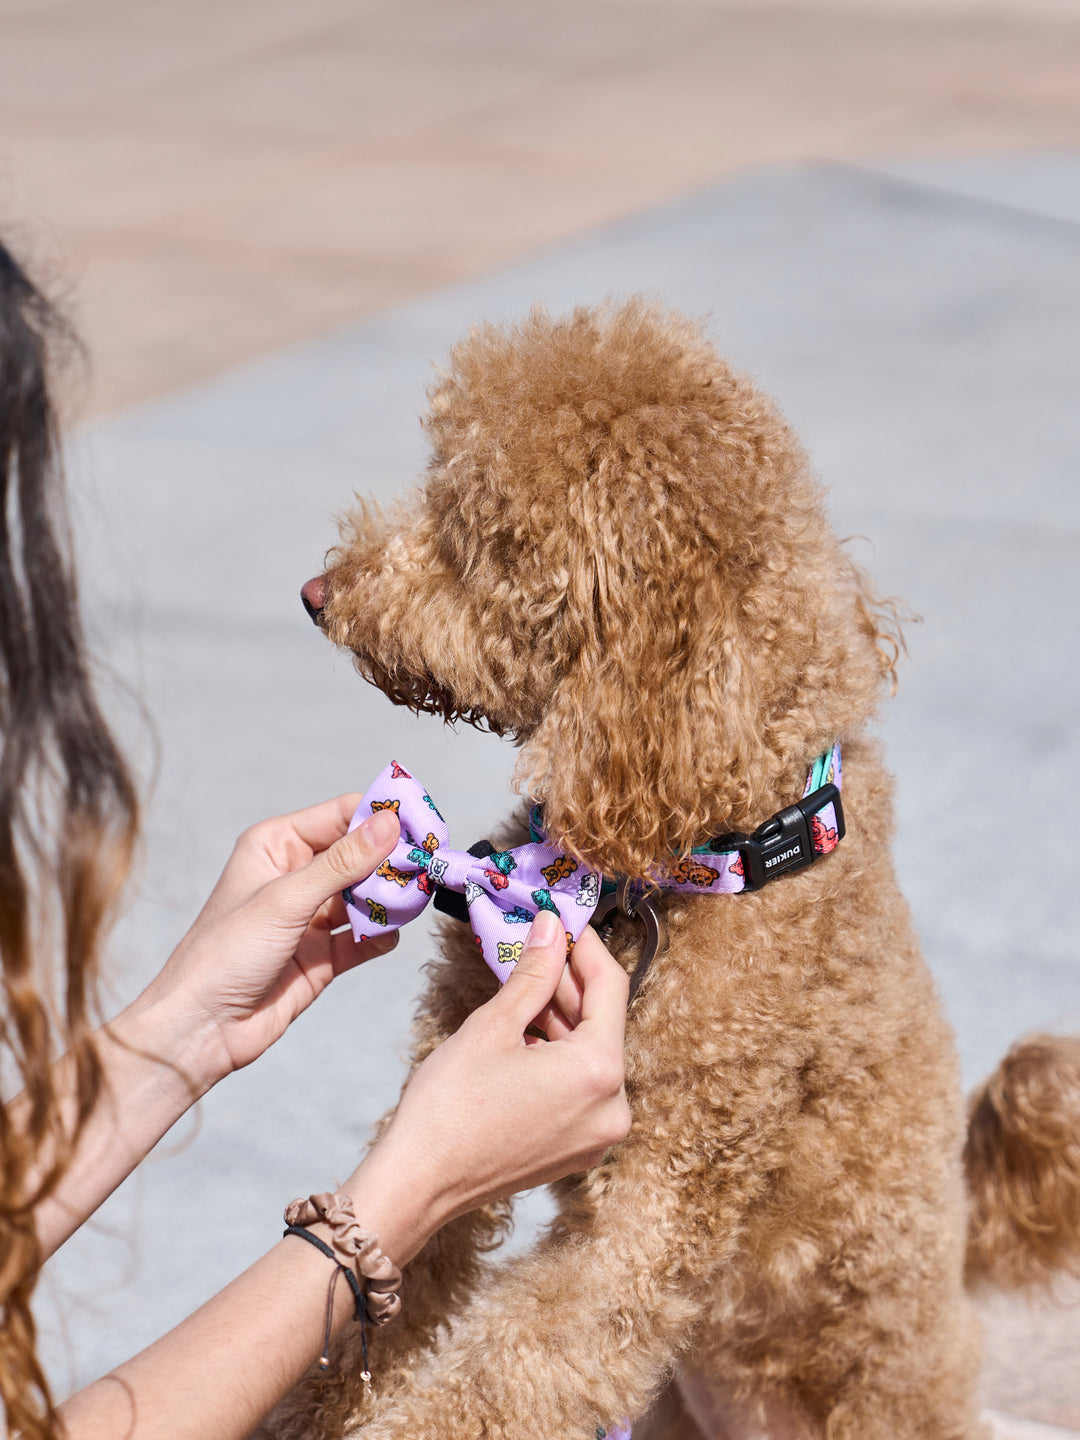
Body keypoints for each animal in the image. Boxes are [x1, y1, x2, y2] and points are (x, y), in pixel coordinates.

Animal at [272, 300, 1080, 1440]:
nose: (316, 593)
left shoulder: (660, 1204)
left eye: (474, 537)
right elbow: (392, 1279)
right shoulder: (452, 1106)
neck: (677, 866)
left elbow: (517, 1363)